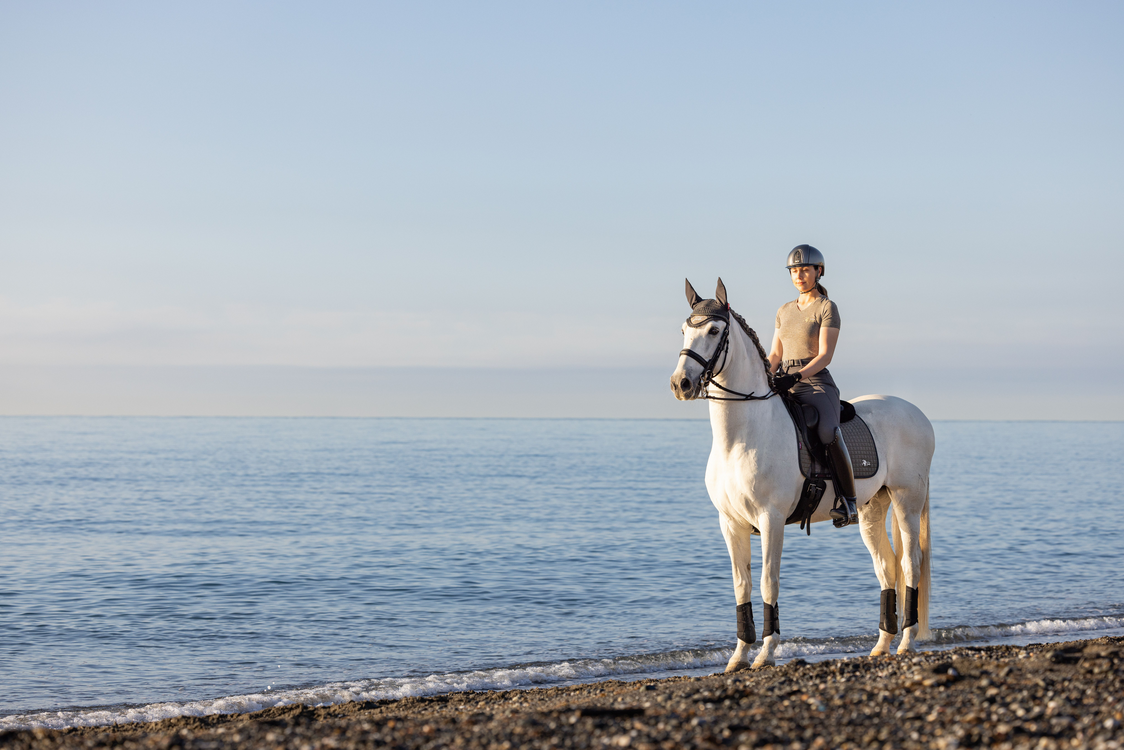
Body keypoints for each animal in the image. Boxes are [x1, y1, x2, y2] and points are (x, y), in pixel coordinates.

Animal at [665, 277, 930, 670]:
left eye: (713, 331)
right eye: (684, 331)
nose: (680, 384)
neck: (741, 437)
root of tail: (916, 413)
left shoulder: (771, 519)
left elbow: (767, 582)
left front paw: (765, 653)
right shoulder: (730, 523)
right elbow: (741, 586)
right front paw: (738, 656)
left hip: (906, 502)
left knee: (910, 564)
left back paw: (906, 642)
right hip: (872, 509)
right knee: (887, 567)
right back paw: (881, 645)